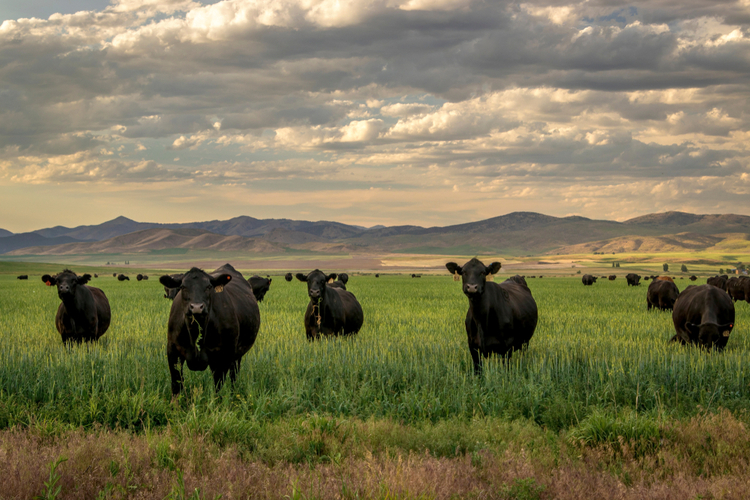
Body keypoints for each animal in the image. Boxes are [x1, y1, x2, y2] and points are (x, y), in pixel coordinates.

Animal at [159, 264, 262, 396]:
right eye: (182, 287)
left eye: (208, 286)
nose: (196, 307)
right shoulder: (173, 350)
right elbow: (176, 385)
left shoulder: (223, 355)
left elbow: (218, 387)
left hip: (237, 354)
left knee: (233, 376)